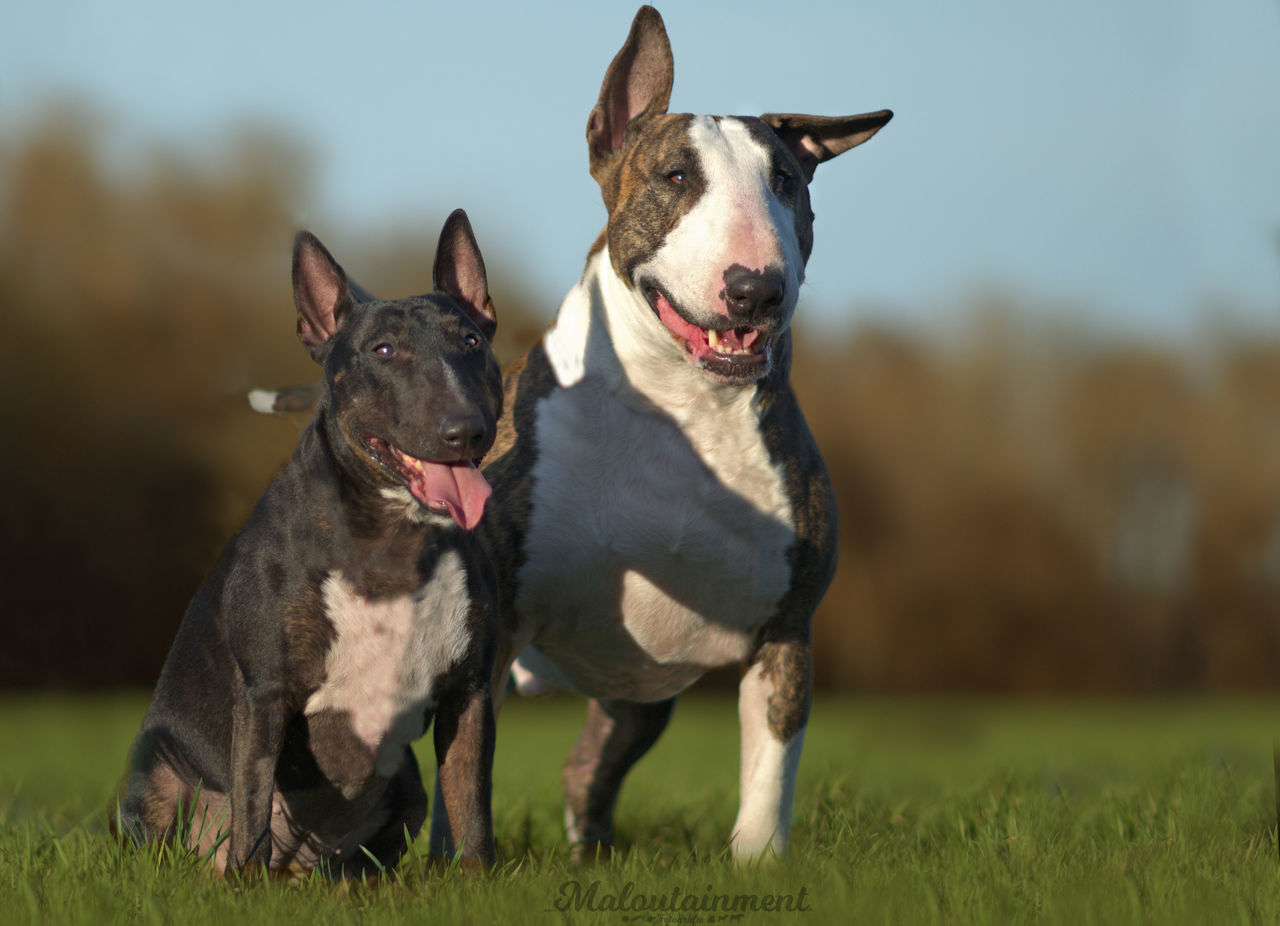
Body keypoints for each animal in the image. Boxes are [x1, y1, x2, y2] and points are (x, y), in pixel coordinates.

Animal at [116, 208, 499, 876]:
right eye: (383, 350)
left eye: (473, 342)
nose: (465, 430)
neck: (390, 537)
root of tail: (303, 863)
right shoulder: (265, 693)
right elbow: (252, 804)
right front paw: (245, 886)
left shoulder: (468, 690)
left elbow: (471, 804)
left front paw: (477, 883)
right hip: (158, 773)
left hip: (405, 787)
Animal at [478, 9, 890, 860]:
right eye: (674, 178)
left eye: (786, 182)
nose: (757, 289)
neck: (682, 407)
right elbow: (463, 767)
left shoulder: (786, 630)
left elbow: (769, 772)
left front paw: (759, 863)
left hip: (635, 698)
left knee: (586, 769)